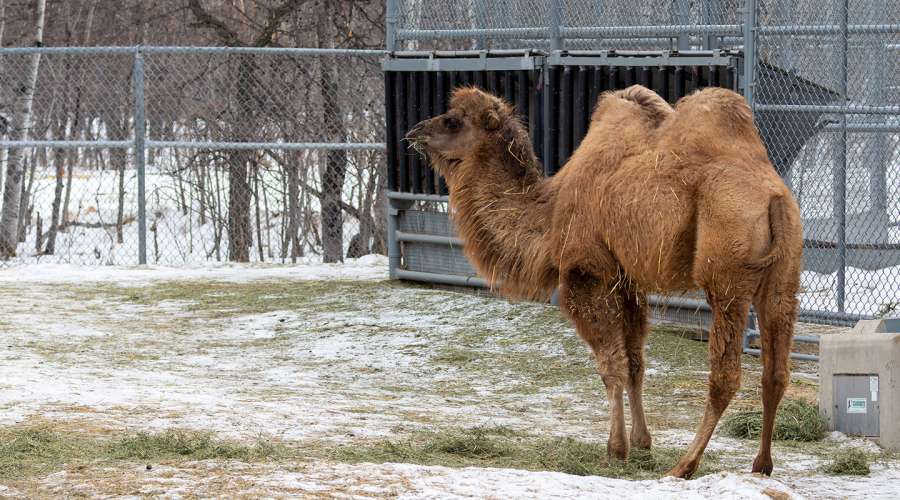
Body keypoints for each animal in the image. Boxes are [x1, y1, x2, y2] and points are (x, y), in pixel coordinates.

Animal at [405, 84, 803, 479]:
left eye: (453, 120)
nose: (414, 131)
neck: (549, 215)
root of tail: (774, 197)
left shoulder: (587, 273)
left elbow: (611, 366)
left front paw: (616, 449)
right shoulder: (626, 281)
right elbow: (635, 363)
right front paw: (642, 442)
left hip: (726, 277)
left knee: (726, 376)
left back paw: (684, 465)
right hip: (784, 278)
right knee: (775, 373)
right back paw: (762, 464)